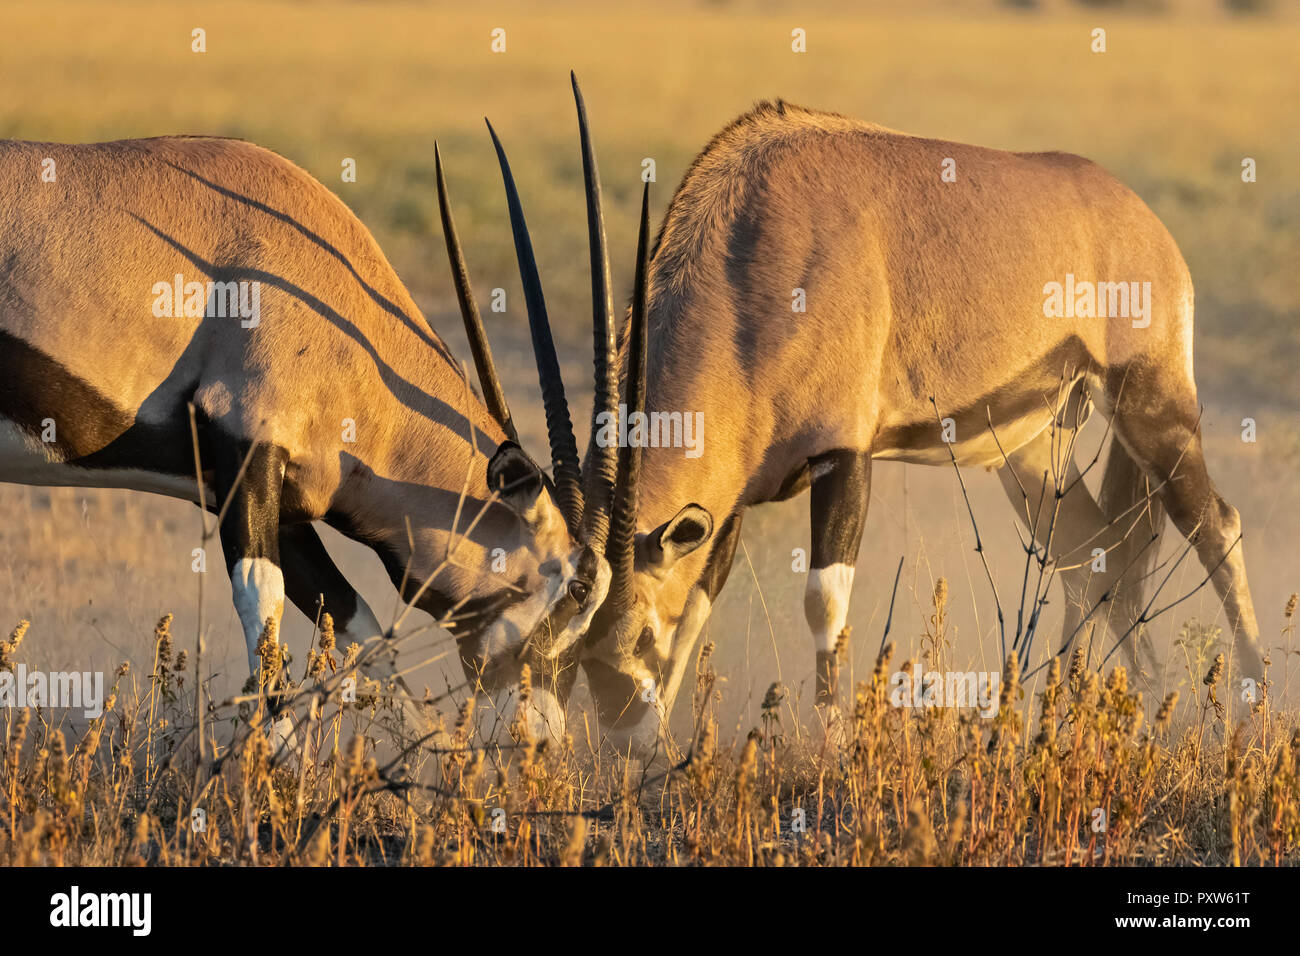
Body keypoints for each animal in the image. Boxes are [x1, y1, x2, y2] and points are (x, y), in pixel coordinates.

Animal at [0, 128, 608, 738]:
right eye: (577, 590)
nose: (547, 738)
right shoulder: (250, 450)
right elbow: (262, 603)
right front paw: (270, 756)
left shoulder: (273, 501)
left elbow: (351, 617)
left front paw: (432, 751)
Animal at [574, 98, 1263, 754]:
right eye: (572, 643)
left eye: (638, 633)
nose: (625, 740)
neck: (747, 257)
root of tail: (1143, 220)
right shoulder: (734, 496)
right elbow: (699, 600)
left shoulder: (844, 455)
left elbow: (824, 601)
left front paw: (834, 742)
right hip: (1034, 455)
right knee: (1093, 554)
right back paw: (1064, 713)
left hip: (1152, 407)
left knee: (1216, 527)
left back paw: (1252, 709)